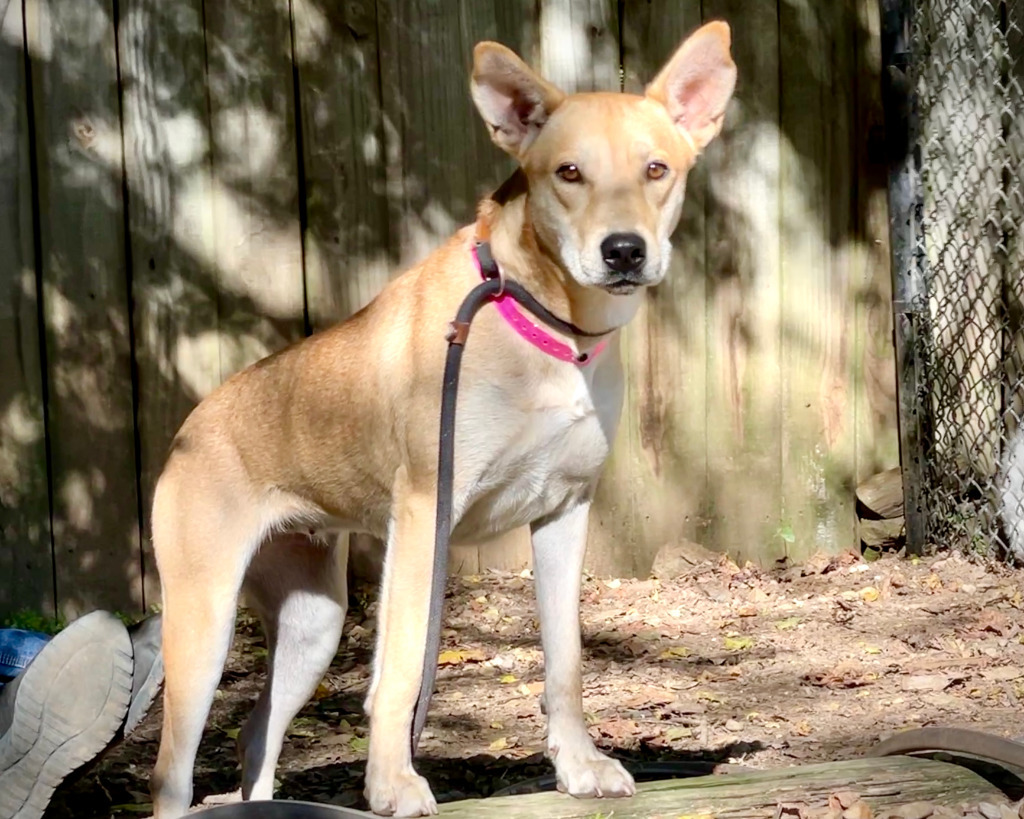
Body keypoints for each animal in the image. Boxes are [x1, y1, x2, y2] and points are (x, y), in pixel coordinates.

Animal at [148, 20, 733, 818]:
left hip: (313, 624)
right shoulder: (427, 513)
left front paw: (579, 765)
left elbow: (565, 660)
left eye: (655, 169)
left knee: (256, 729)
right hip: (202, 624)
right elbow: (399, 668)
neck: (538, 318)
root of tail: (189, 427)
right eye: (569, 173)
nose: (624, 251)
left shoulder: (565, 510)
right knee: (172, 770)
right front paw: (392, 782)